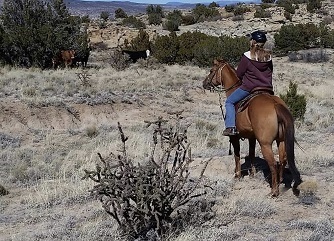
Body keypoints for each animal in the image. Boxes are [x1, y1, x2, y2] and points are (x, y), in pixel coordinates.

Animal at [202, 59, 302, 197]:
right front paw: (252, 174)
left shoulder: (235, 137)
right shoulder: (252, 137)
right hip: (281, 140)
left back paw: (274, 191)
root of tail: (276, 105)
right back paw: (280, 182)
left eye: (211, 70)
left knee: (273, 163)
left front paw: (237, 175)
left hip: (265, 144)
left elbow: (237, 155)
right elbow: (252, 154)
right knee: (282, 160)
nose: (204, 83)